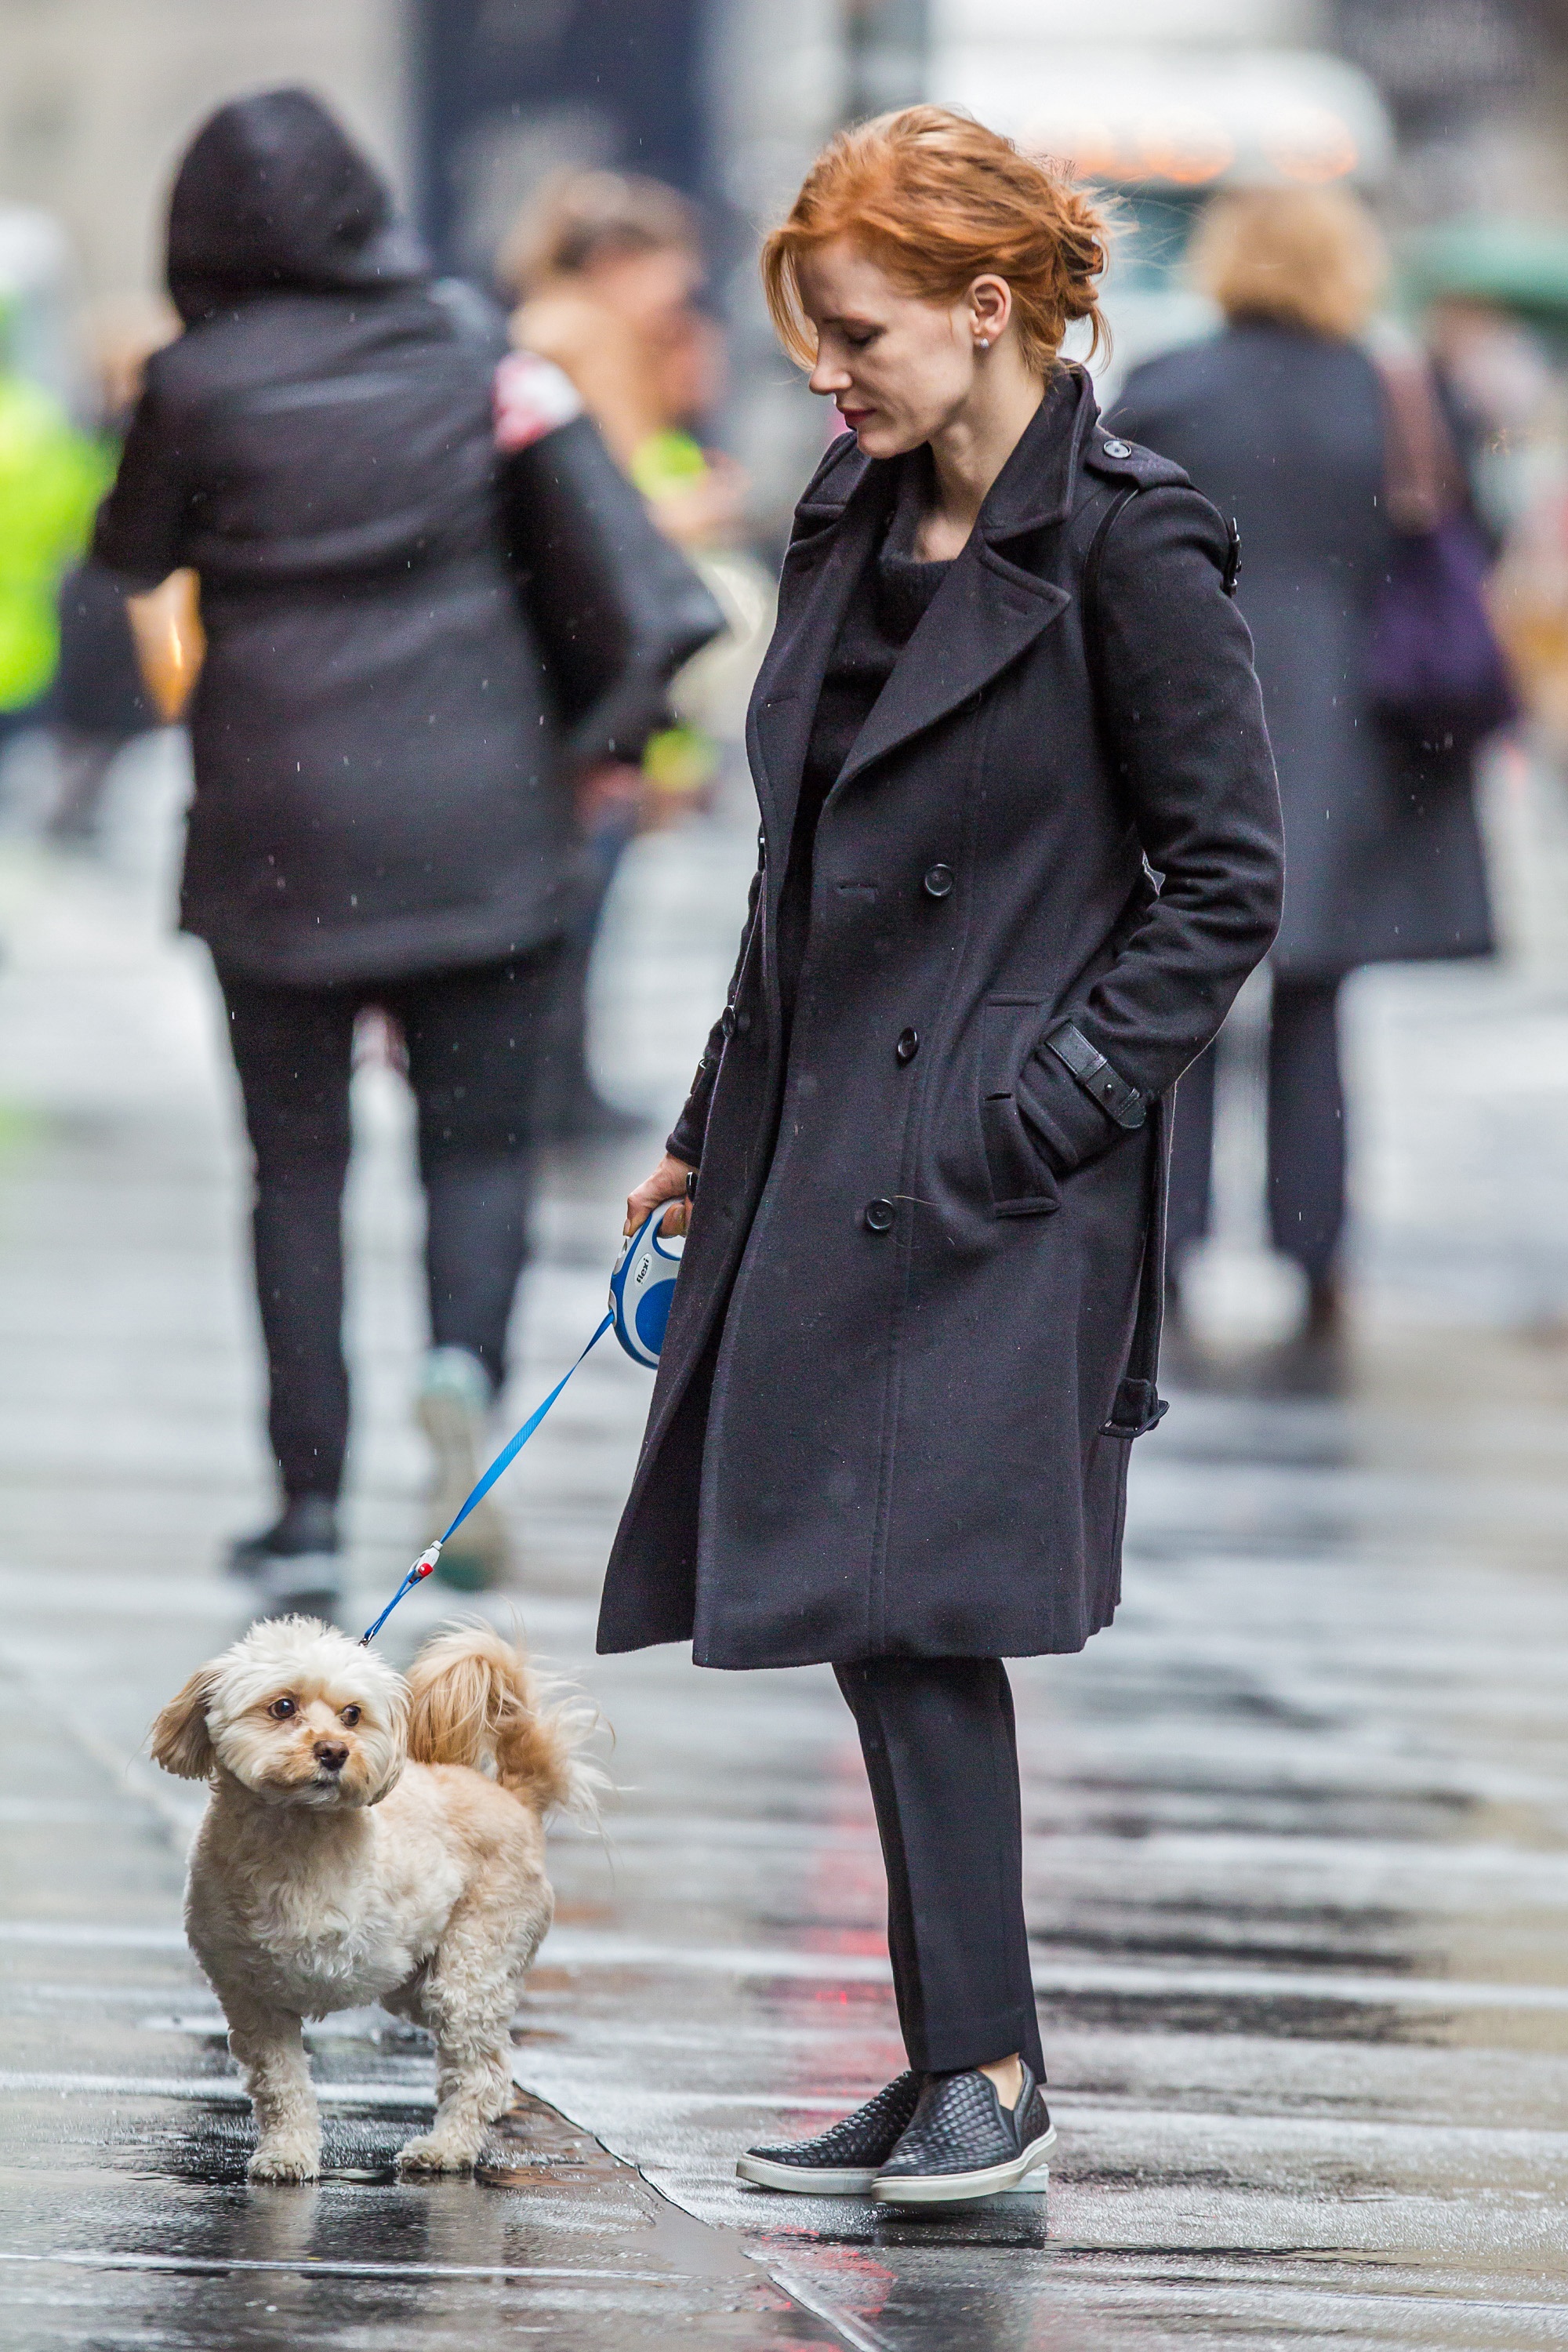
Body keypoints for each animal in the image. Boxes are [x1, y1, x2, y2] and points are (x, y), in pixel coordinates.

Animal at [152, 1618, 597, 2183]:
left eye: (352, 1714)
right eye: (283, 1707)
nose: (334, 1751)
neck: (297, 1834)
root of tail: (513, 1797)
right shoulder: (251, 1998)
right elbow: (280, 2085)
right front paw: (288, 2154)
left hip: (468, 1972)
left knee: (480, 2071)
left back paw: (446, 2149)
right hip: (413, 1986)